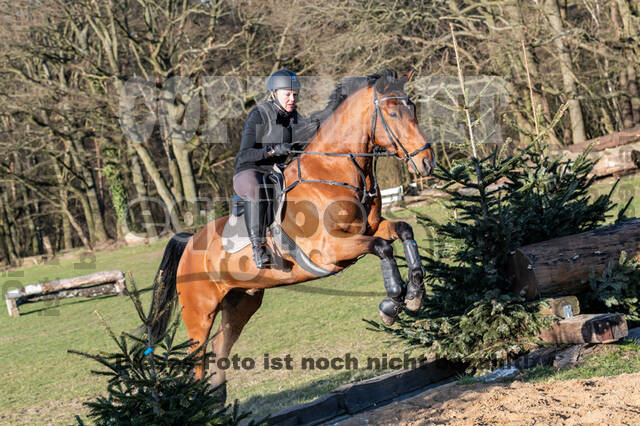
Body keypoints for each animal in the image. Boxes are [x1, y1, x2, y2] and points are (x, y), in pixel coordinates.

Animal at [149, 69, 436, 392]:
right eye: (393, 112)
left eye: (413, 108)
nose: (427, 162)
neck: (334, 171)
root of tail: (188, 243)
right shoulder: (331, 250)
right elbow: (383, 247)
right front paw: (391, 304)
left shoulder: (372, 228)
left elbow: (404, 230)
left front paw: (414, 294)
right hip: (200, 313)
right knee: (196, 357)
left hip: (241, 304)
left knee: (220, 346)